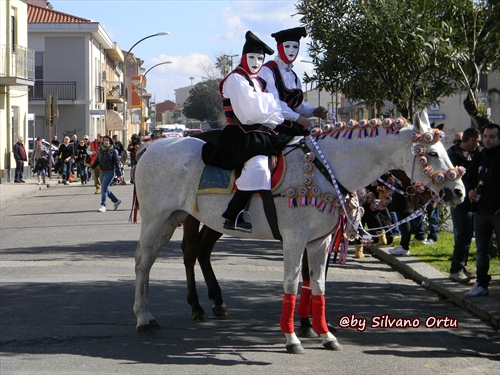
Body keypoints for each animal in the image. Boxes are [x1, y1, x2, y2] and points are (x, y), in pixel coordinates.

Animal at [133, 109, 464, 356]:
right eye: (432, 153)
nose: (458, 191)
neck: (324, 168)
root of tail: (151, 146)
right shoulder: (295, 236)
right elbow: (292, 282)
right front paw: (293, 337)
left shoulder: (320, 240)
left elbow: (316, 283)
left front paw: (324, 333)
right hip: (157, 219)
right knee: (146, 261)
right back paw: (145, 318)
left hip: (174, 219)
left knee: (175, 257)